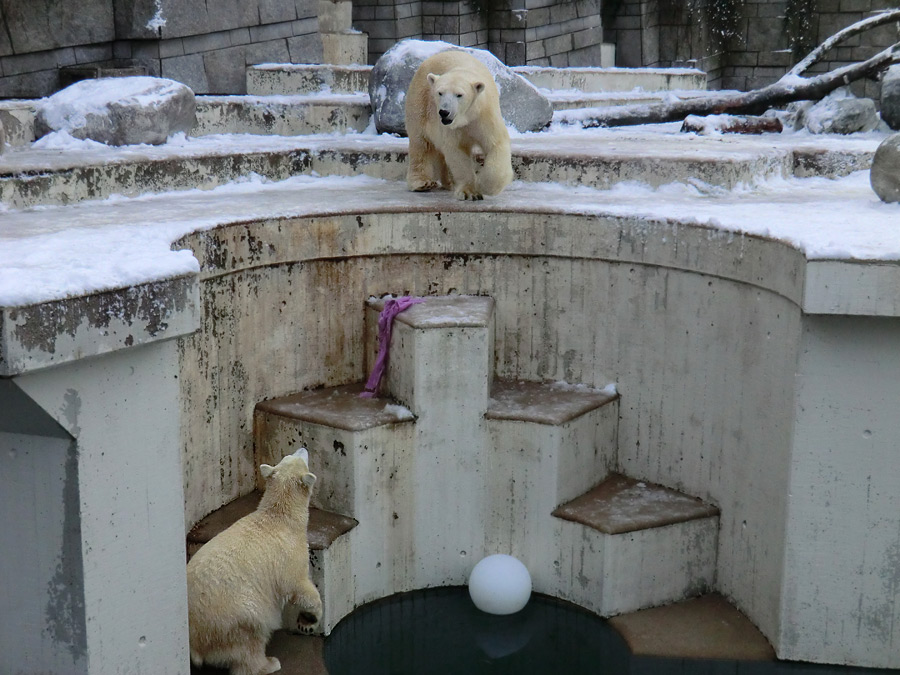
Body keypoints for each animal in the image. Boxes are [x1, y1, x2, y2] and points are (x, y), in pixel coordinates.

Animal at [406, 50, 512, 201]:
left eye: (459, 95)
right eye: (440, 92)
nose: (444, 112)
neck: (467, 117)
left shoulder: (485, 116)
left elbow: (496, 144)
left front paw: (484, 185)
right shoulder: (453, 128)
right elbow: (457, 151)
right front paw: (469, 192)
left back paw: (449, 182)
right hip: (419, 102)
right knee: (421, 143)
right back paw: (422, 183)